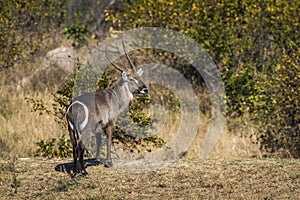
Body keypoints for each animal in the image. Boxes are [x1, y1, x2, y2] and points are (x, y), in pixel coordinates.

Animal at [67, 41, 149, 177]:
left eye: (139, 76)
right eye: (132, 79)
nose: (145, 89)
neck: (115, 96)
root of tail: (75, 106)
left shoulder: (99, 128)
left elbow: (99, 142)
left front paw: (97, 160)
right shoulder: (110, 123)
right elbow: (109, 139)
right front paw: (109, 162)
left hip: (71, 131)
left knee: (74, 147)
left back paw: (75, 172)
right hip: (86, 130)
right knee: (80, 146)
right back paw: (83, 171)